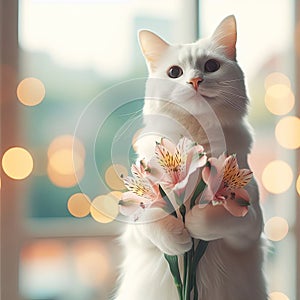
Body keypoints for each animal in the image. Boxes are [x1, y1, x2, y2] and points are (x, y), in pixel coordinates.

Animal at [115, 15, 268, 300]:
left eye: (211, 66)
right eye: (174, 72)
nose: (195, 81)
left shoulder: (251, 224)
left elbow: (221, 217)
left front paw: (196, 223)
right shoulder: (135, 228)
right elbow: (151, 218)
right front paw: (177, 238)